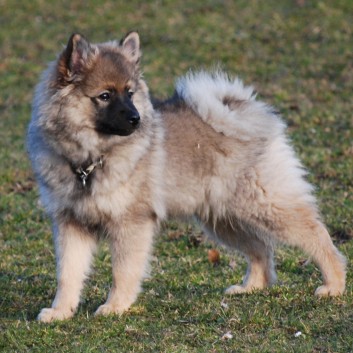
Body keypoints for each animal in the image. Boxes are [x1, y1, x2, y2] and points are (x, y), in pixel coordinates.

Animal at [26, 31, 344, 320]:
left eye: (130, 93)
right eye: (104, 96)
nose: (136, 119)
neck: (90, 159)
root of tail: (246, 112)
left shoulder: (130, 223)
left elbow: (122, 271)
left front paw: (115, 307)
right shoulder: (70, 223)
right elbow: (68, 274)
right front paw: (60, 311)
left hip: (264, 204)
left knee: (315, 234)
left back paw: (334, 284)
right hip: (223, 218)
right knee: (260, 249)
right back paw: (250, 287)